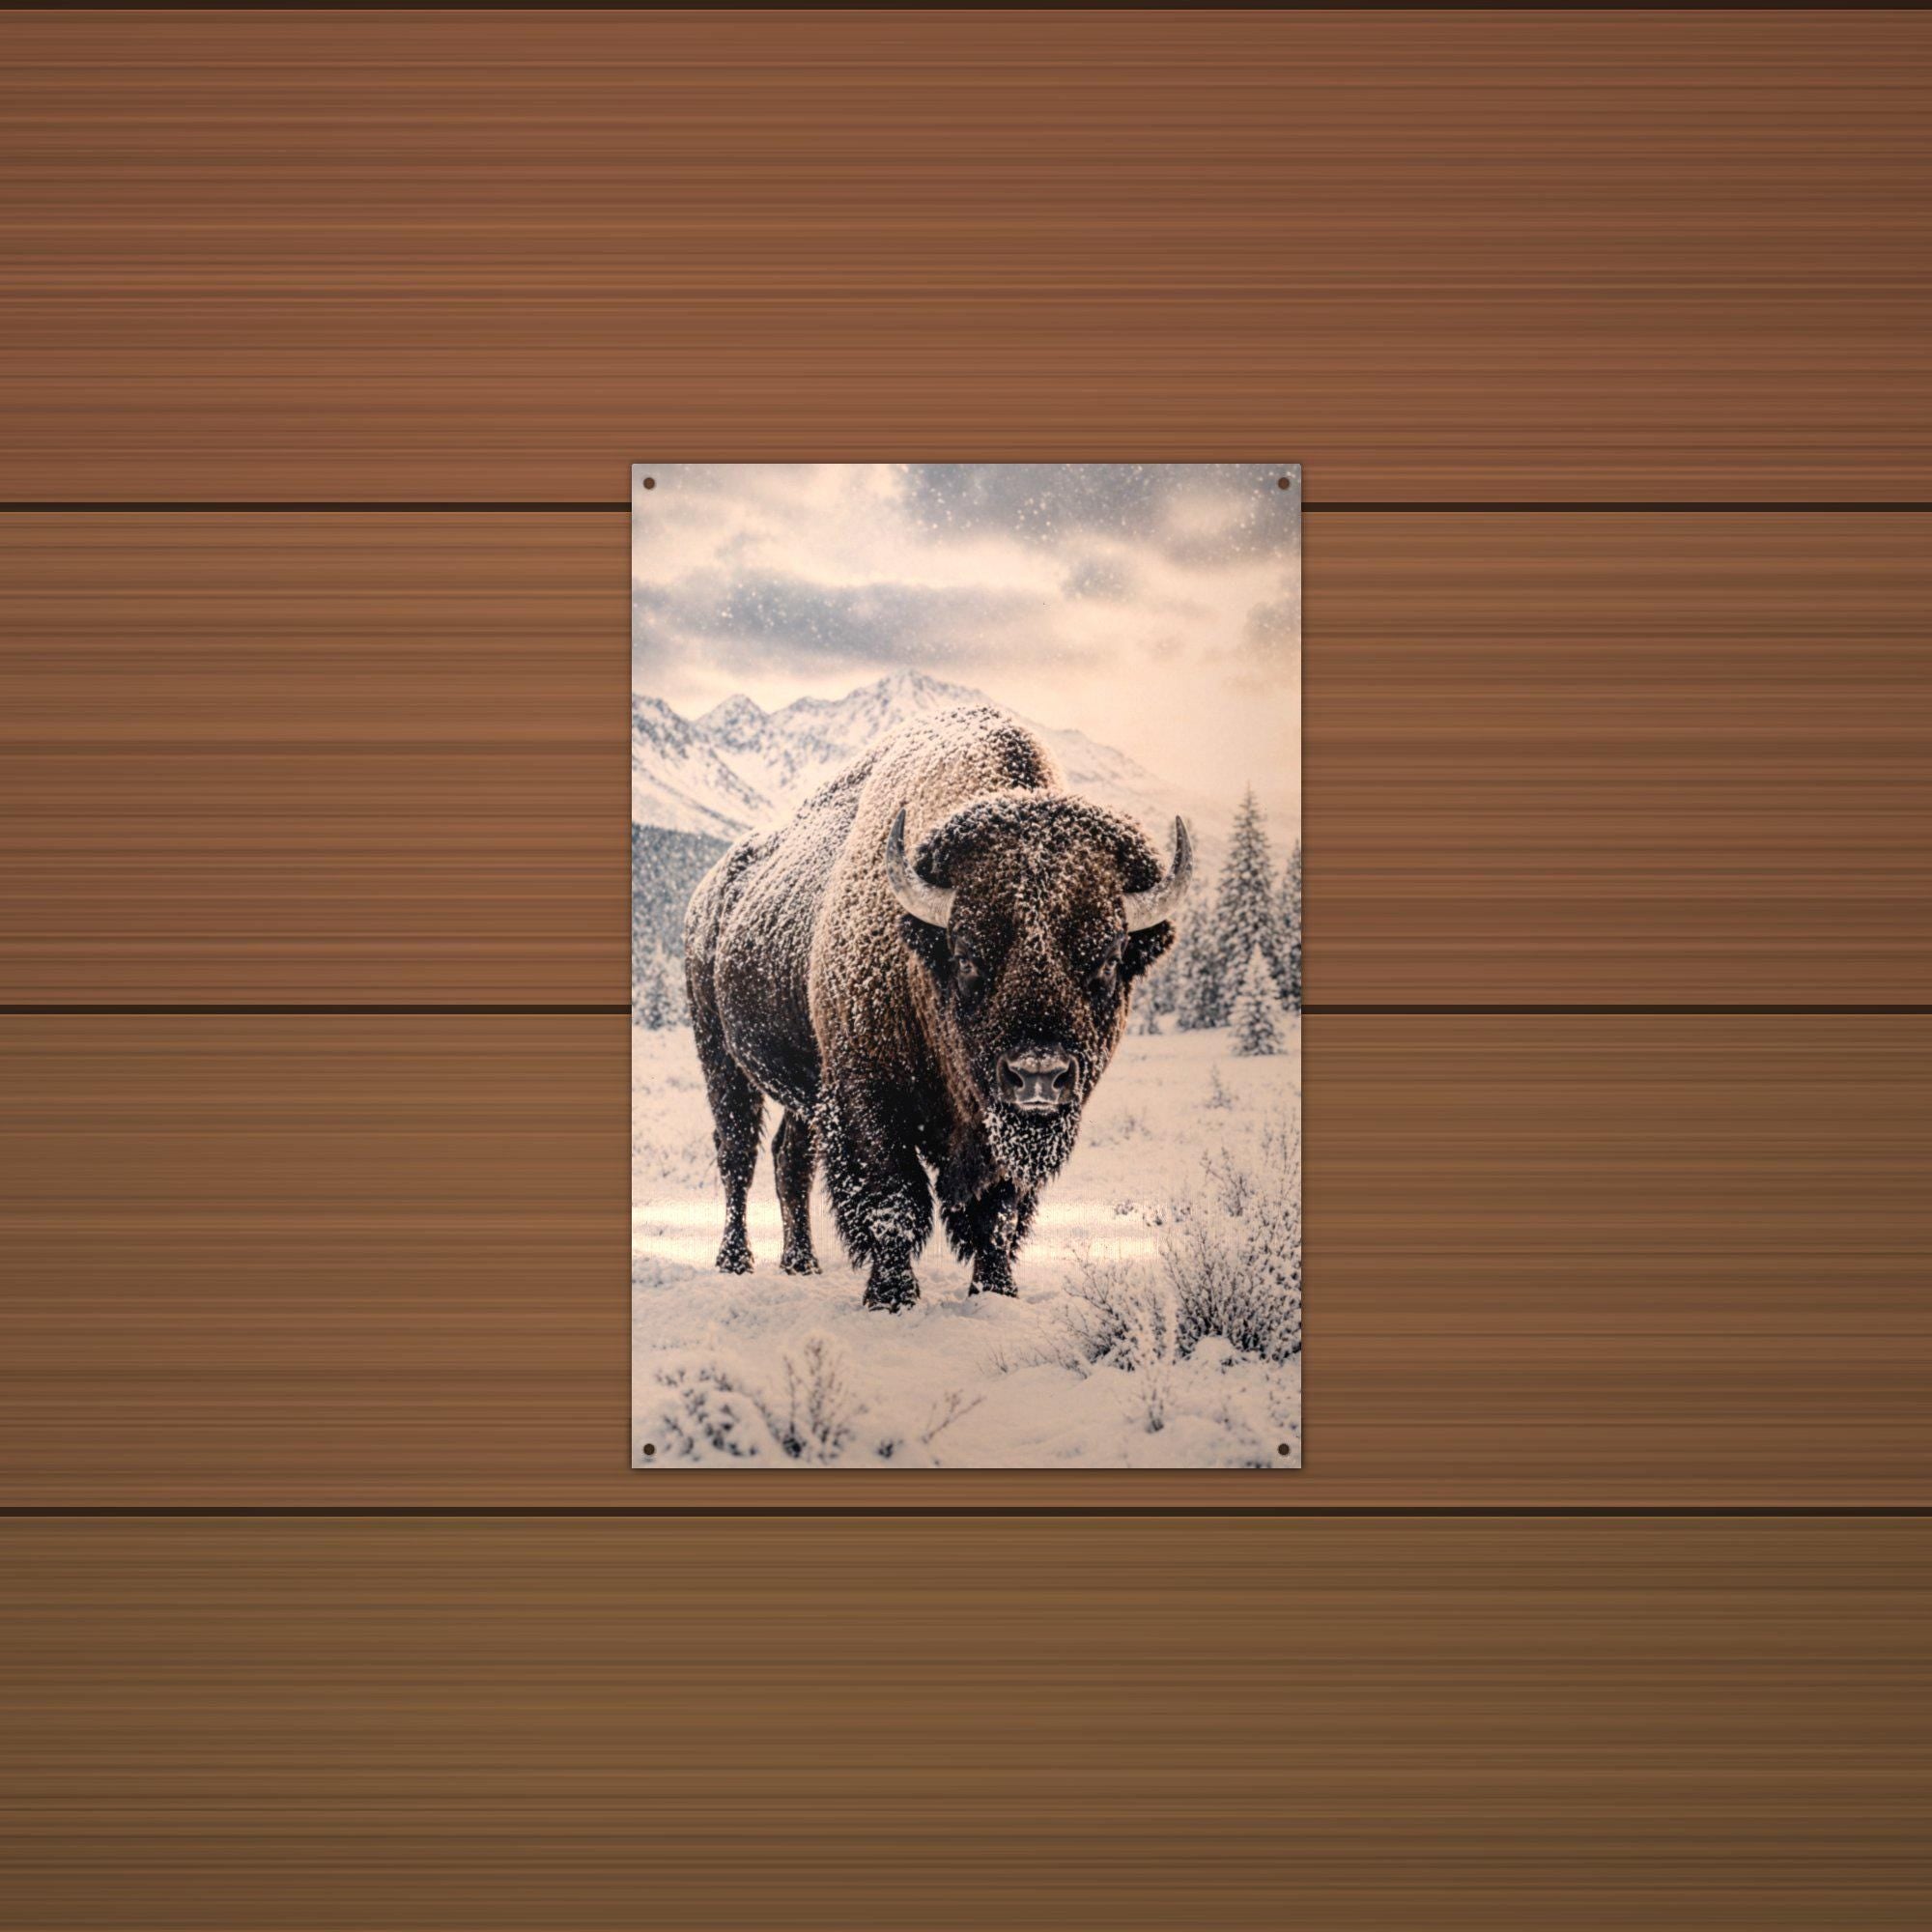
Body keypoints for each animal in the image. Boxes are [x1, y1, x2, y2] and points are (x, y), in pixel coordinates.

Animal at [684, 705, 1191, 1311]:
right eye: (967, 954)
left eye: (1109, 959)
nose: (1038, 1075)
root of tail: (711, 893)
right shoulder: (868, 1100)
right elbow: (893, 1205)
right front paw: (891, 1296)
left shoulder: (995, 1129)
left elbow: (997, 1215)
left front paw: (995, 1292)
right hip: (719, 1056)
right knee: (737, 1155)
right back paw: (734, 1261)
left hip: (803, 1090)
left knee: (790, 1159)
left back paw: (801, 1264)